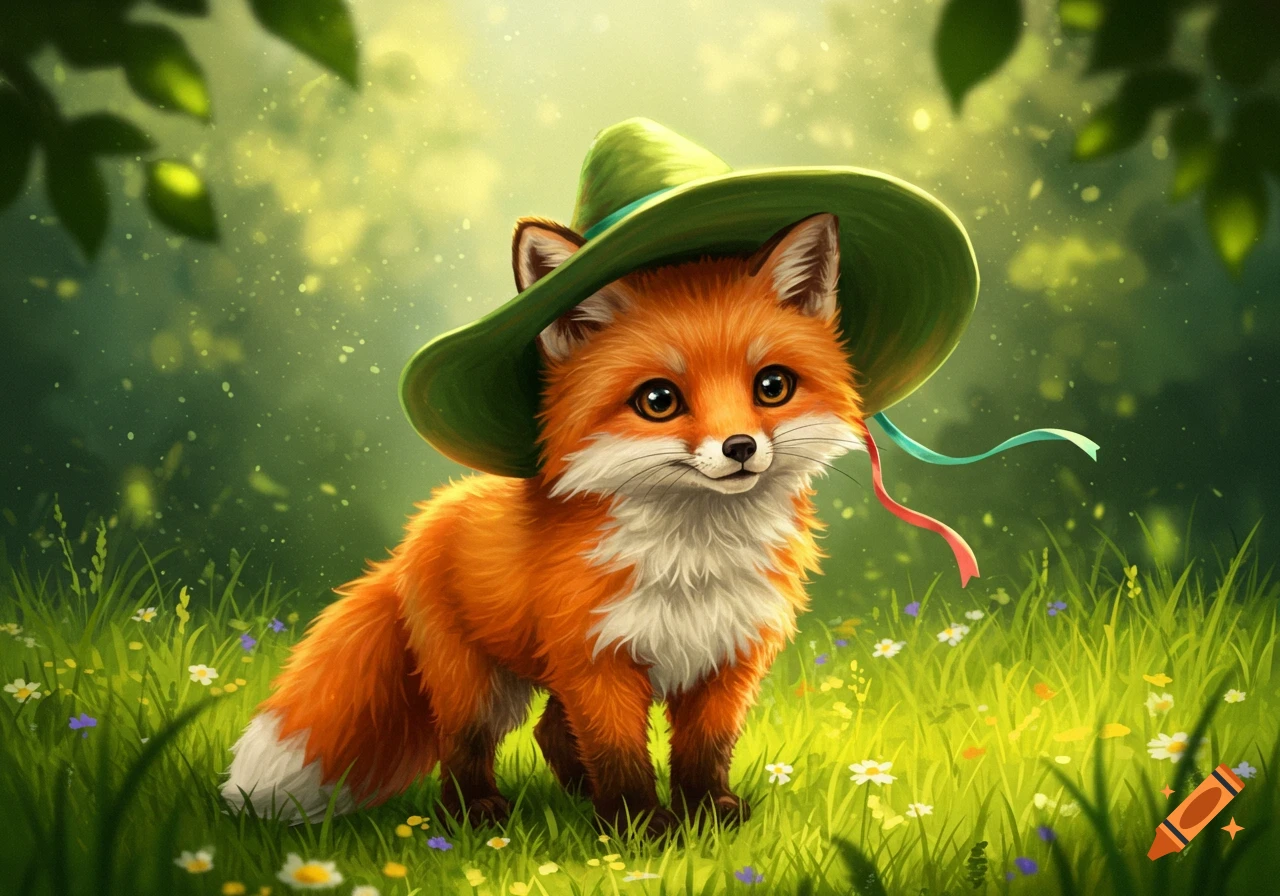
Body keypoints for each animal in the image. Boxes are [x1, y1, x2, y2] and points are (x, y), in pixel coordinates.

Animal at [222, 212, 870, 838]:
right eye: (658, 400)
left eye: (772, 386)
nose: (740, 448)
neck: (693, 559)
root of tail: (424, 520)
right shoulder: (599, 661)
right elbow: (620, 755)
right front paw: (640, 829)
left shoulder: (726, 658)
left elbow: (703, 752)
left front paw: (707, 814)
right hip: (477, 687)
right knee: (463, 746)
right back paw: (476, 811)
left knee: (551, 732)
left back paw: (579, 797)